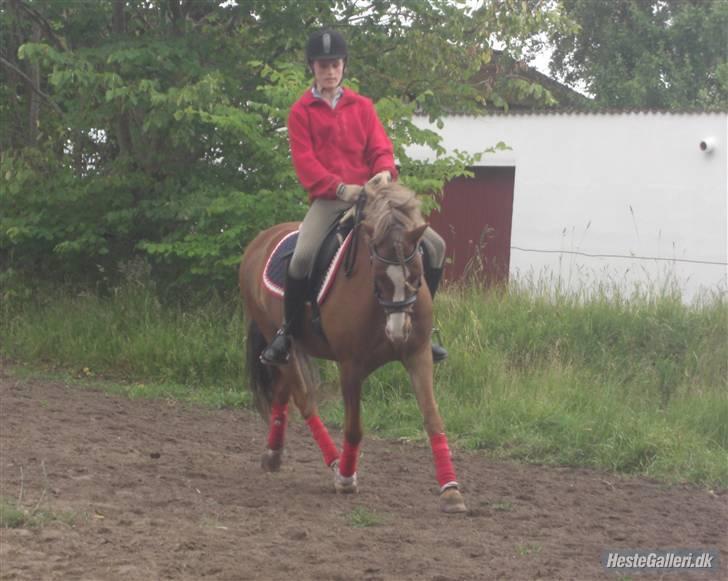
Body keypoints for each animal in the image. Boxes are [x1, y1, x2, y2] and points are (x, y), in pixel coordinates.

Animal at [240, 182, 466, 513]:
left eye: (416, 274)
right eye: (379, 276)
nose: (398, 331)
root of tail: (261, 239)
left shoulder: (418, 355)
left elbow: (433, 419)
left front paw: (451, 490)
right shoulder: (350, 366)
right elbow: (354, 427)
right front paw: (346, 478)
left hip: (292, 350)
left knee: (283, 392)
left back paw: (273, 455)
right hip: (277, 338)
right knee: (304, 400)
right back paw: (334, 462)